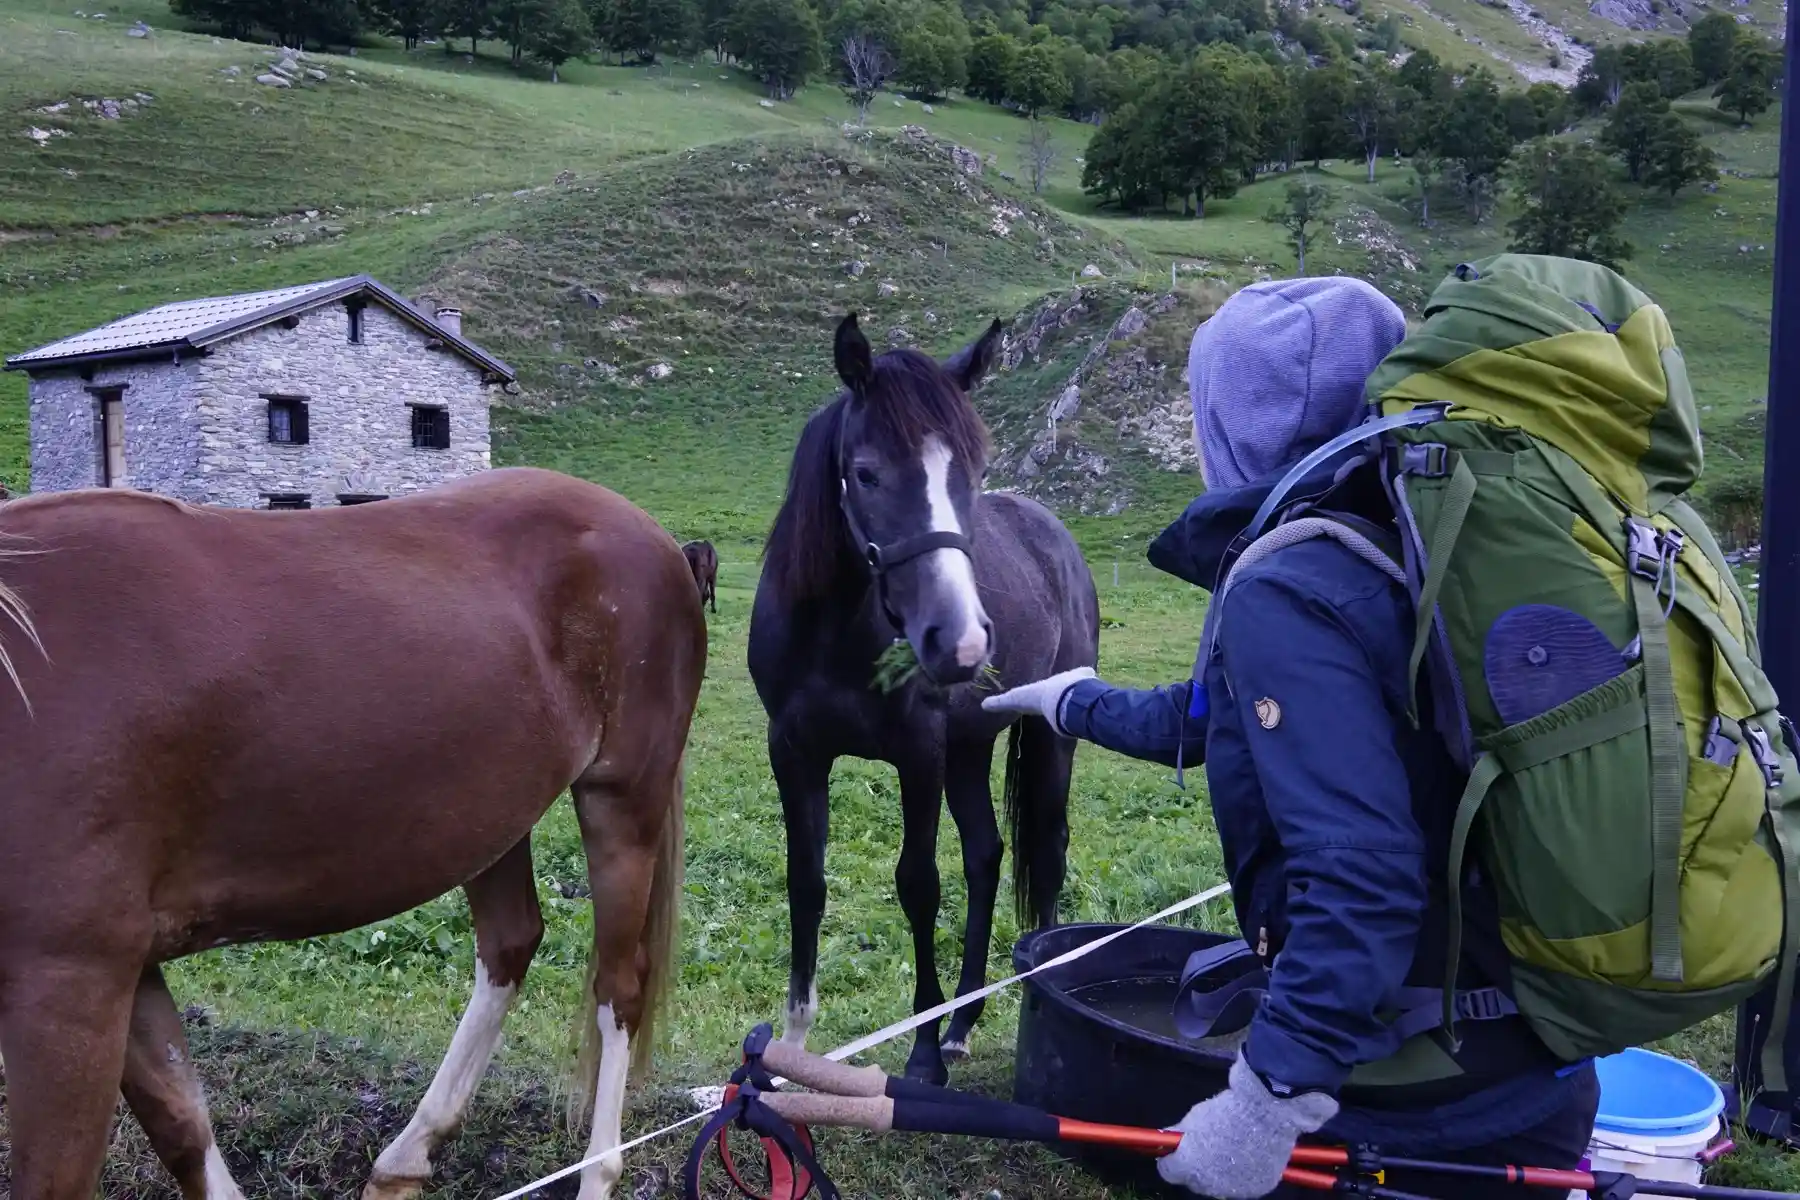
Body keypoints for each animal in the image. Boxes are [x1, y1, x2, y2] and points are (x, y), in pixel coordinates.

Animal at [0, 467, 709, 1200]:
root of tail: (659, 541)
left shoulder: (70, 978)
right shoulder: (125, 967)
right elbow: (182, 1128)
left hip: (621, 803)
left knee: (618, 986)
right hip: (491, 819)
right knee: (510, 943)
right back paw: (406, 1157)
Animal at [745, 314, 1094, 1086]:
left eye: (975, 472)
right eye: (866, 472)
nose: (959, 639)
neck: (837, 631)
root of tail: (1055, 536)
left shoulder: (917, 754)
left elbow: (918, 885)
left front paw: (923, 1053)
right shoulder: (794, 753)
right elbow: (806, 882)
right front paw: (793, 1052)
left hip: (1047, 736)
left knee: (1047, 850)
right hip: (969, 748)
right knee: (988, 855)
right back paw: (965, 1019)